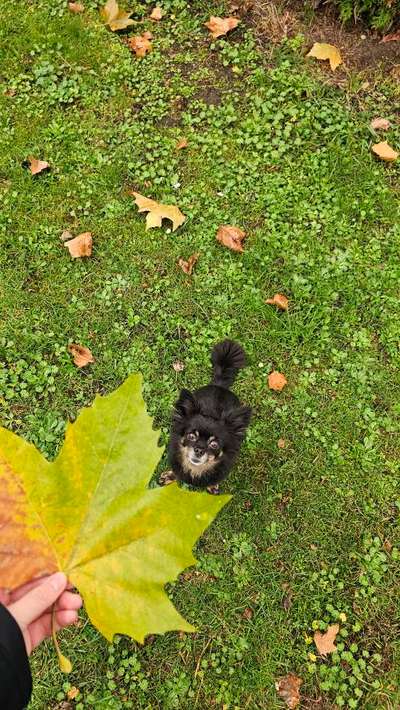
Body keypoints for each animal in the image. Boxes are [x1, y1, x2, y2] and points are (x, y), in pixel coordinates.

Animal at [161, 340, 252, 496]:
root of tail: (220, 385)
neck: (195, 469)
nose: (199, 450)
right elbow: (176, 472)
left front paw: (212, 486)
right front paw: (169, 477)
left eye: (214, 445)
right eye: (191, 436)